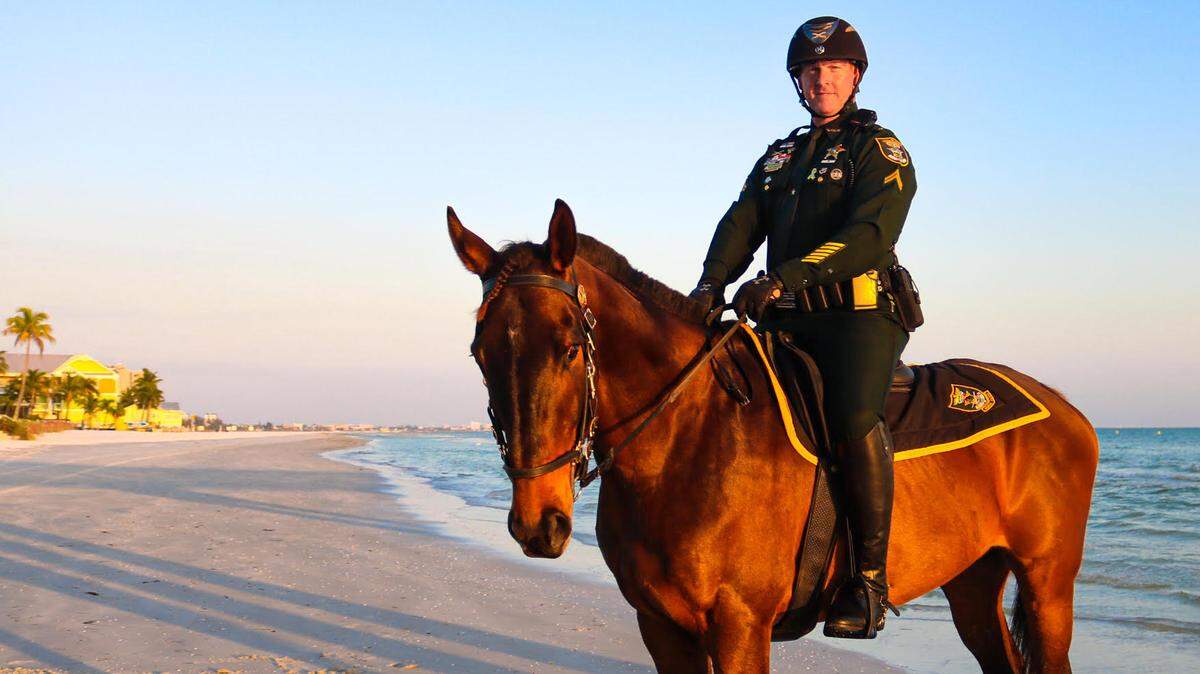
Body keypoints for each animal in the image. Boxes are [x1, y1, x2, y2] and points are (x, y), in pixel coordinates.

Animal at [447, 199, 1098, 673]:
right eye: (480, 353)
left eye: (567, 348)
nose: (538, 523)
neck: (685, 443)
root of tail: (1066, 407)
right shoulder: (662, 627)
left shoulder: (740, 625)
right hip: (973, 584)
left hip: (1047, 586)